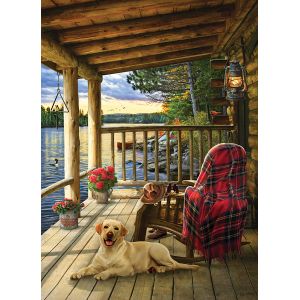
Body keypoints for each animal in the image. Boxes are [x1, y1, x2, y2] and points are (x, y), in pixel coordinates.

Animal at [70, 218, 199, 282]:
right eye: (106, 227)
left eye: (116, 228)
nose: (110, 234)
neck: (109, 251)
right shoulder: (95, 266)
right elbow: (85, 268)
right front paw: (76, 273)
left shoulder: (127, 268)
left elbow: (111, 269)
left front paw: (102, 274)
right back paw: (154, 268)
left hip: (155, 252)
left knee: (174, 265)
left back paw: (161, 268)